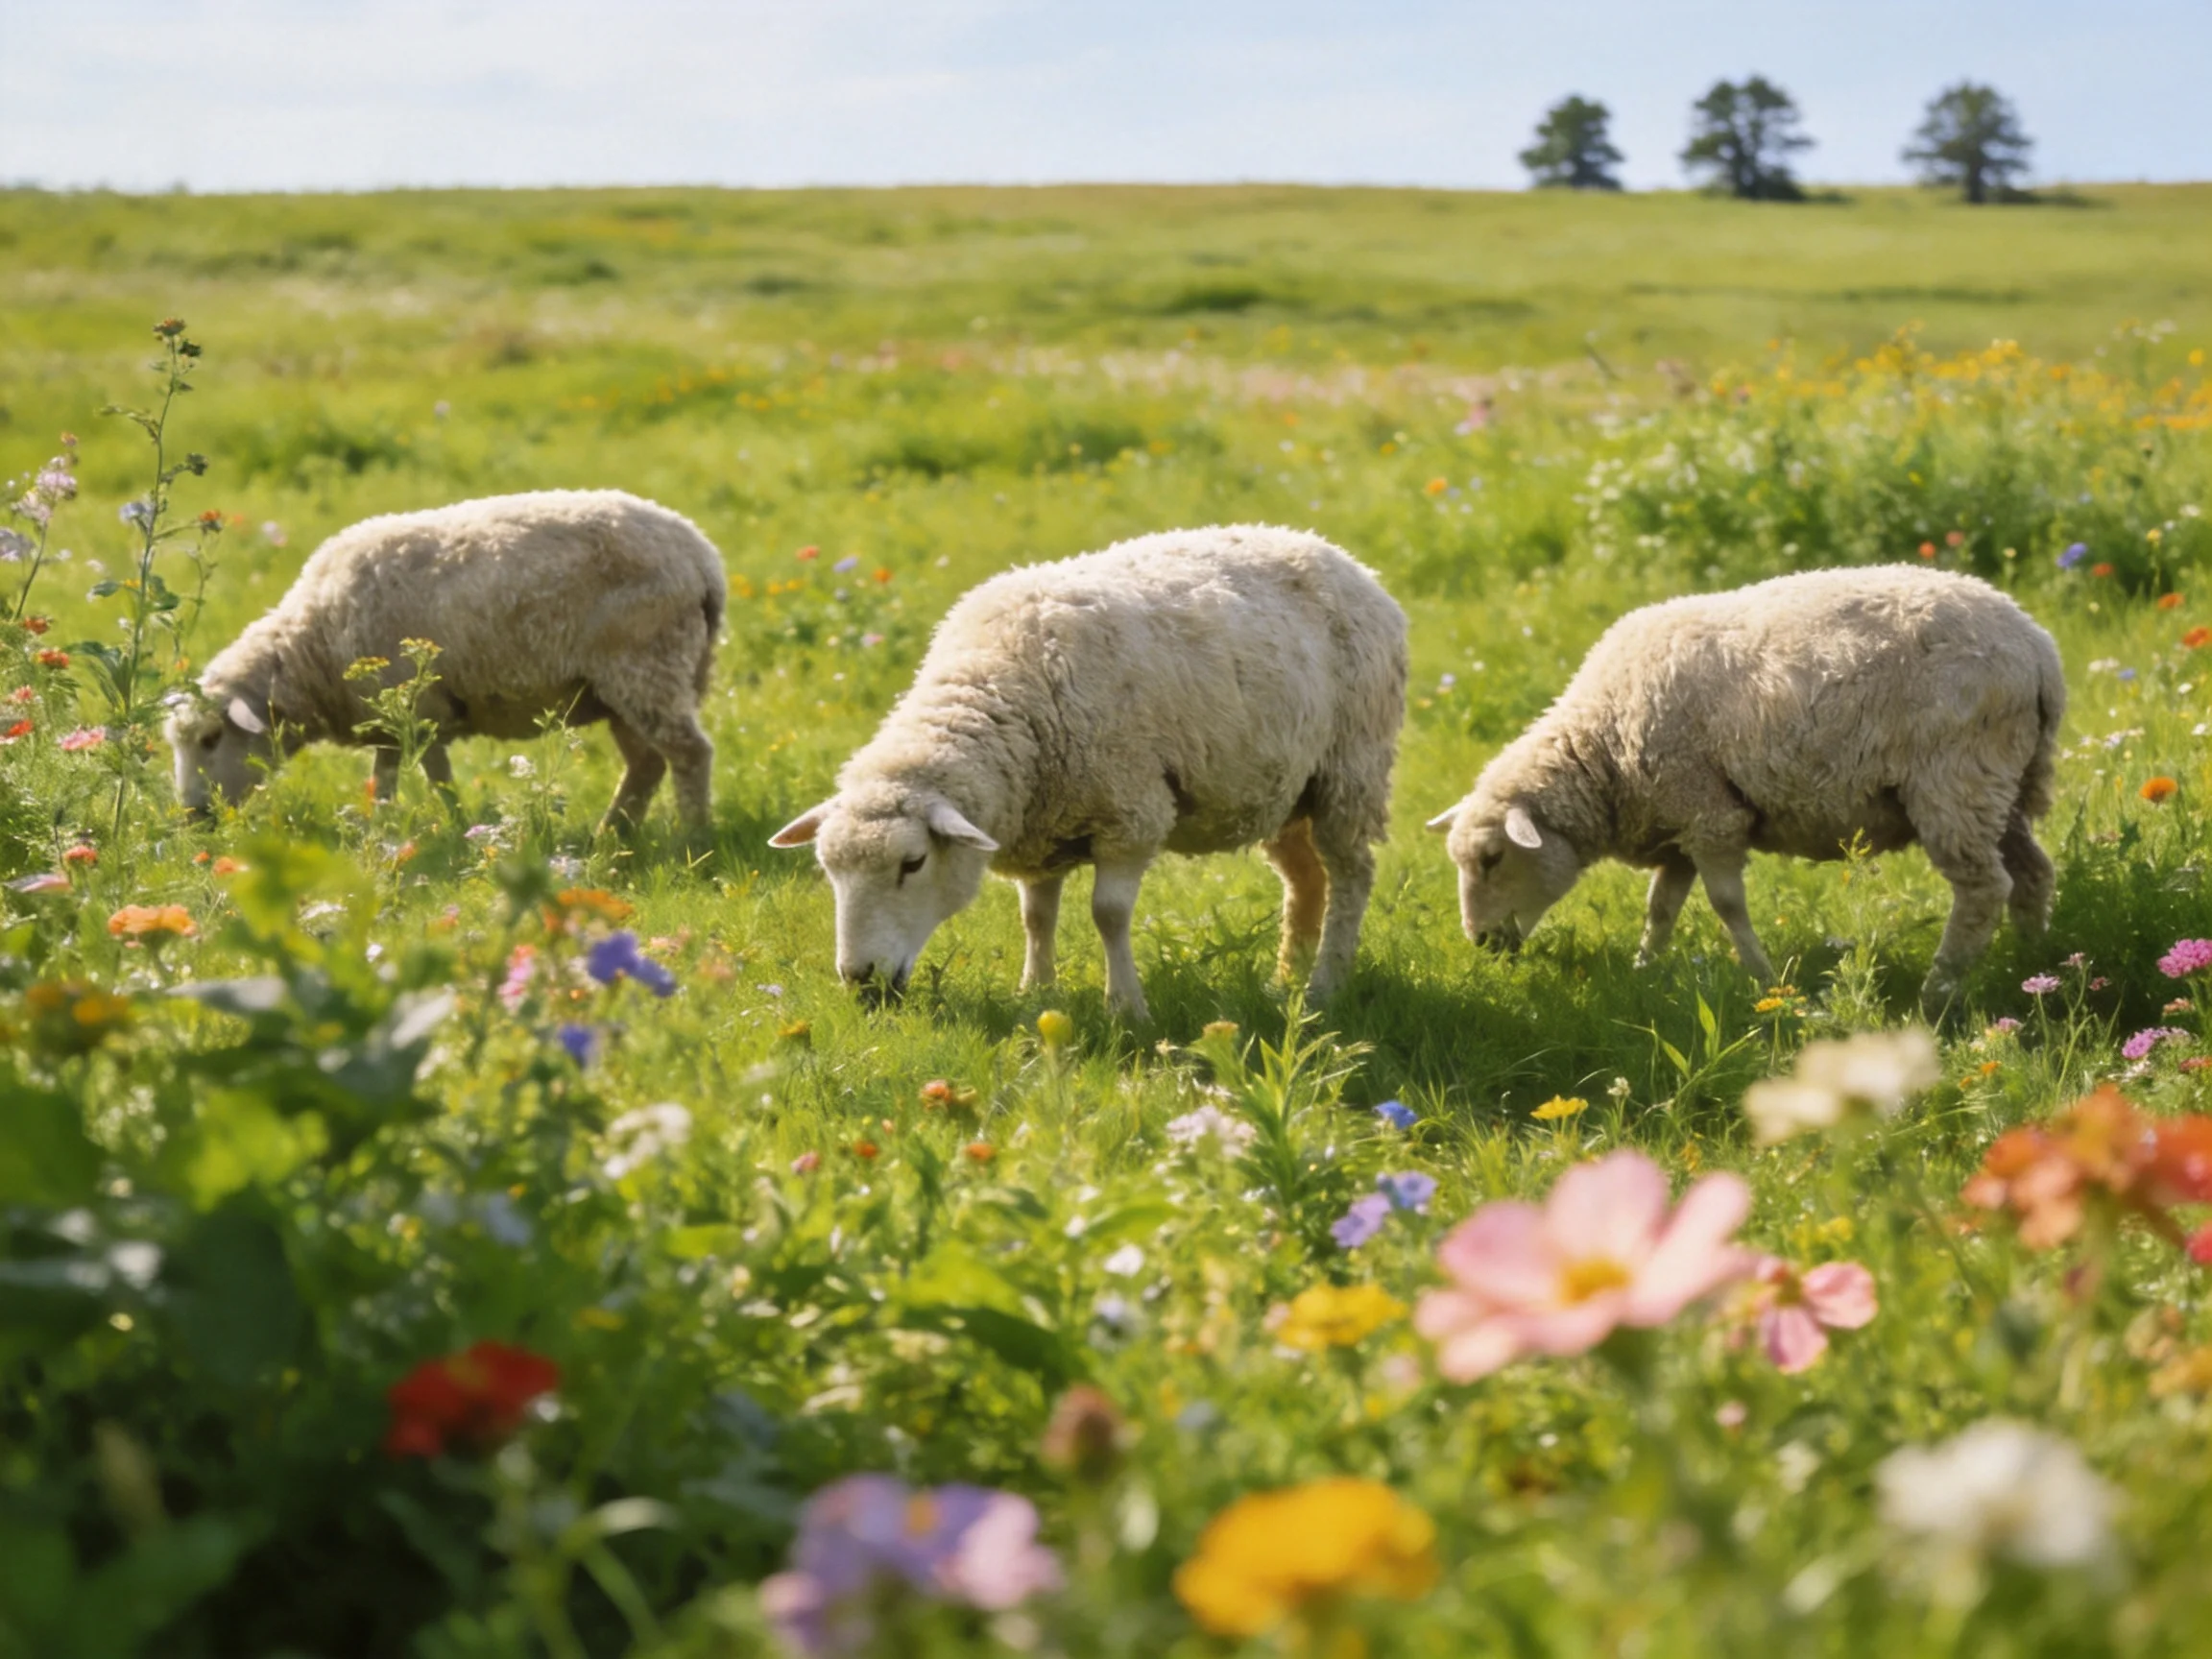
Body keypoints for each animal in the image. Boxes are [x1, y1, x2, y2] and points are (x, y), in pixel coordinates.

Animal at [167, 490, 725, 831]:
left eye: (212, 739)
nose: (192, 816)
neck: (312, 645)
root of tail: (700, 554)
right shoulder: (390, 718)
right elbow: (385, 777)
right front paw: (381, 829)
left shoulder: (422, 709)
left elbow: (437, 777)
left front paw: (456, 826)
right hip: (628, 686)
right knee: (647, 764)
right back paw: (612, 835)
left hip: (647, 665)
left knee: (689, 754)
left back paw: (692, 837)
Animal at [768, 525, 1408, 1020]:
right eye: (829, 870)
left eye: (913, 863)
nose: (860, 979)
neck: (997, 690)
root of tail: (1341, 556)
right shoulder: (1041, 826)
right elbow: (1036, 916)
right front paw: (1035, 992)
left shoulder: (1131, 813)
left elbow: (1108, 914)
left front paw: (1125, 1007)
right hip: (1284, 788)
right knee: (1305, 880)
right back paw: (1286, 981)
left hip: (1351, 767)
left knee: (1350, 876)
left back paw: (1325, 984)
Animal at [1425, 565, 2065, 1016]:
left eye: (1492, 858)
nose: (1479, 942)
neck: (1602, 750)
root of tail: (2037, 647)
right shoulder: (1679, 818)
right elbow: (1661, 906)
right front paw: (1644, 969)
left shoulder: (1710, 813)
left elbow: (1726, 904)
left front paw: (1764, 978)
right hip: (2002, 784)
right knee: (2032, 872)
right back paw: (2032, 964)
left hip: (1954, 778)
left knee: (1983, 889)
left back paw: (1938, 991)